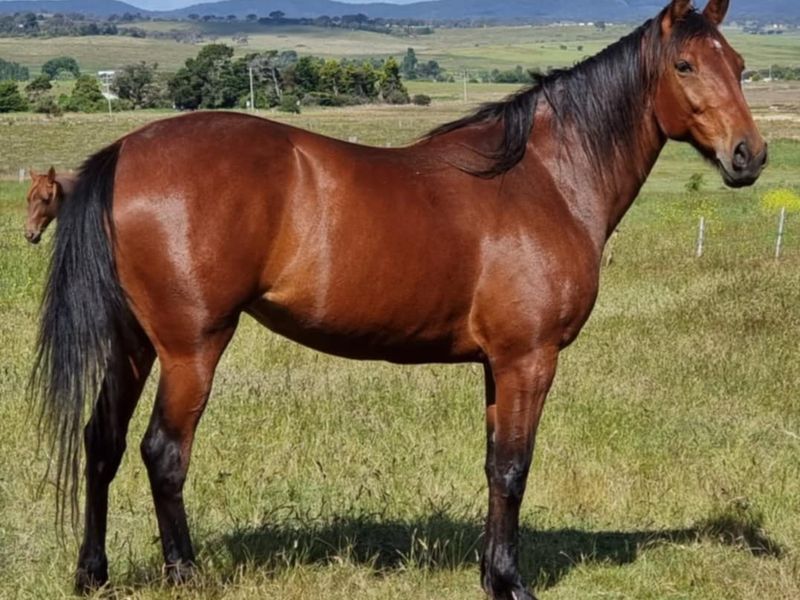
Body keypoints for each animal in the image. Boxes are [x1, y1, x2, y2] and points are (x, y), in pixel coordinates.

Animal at [32, 1, 766, 598]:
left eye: (738, 64)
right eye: (685, 65)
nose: (749, 155)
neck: (545, 179)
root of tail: (125, 152)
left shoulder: (497, 366)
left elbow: (494, 465)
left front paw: (491, 576)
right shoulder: (529, 359)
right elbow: (513, 469)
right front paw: (511, 584)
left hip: (134, 343)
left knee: (103, 442)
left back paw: (92, 574)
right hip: (192, 348)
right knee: (164, 452)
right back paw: (185, 574)